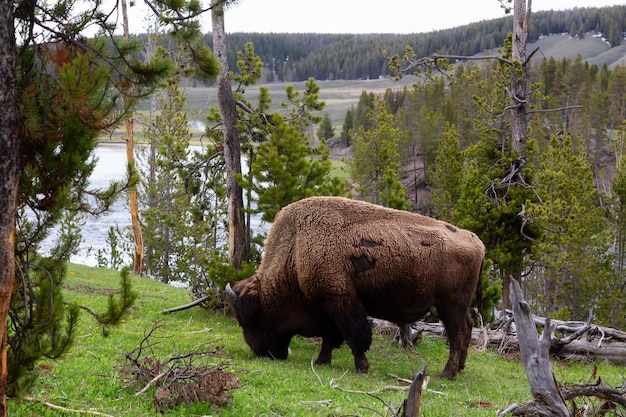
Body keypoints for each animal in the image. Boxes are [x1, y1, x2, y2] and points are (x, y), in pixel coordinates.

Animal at [224, 195, 482, 376]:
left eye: (248, 320)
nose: (260, 352)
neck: (296, 248)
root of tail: (476, 241)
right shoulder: (326, 305)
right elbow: (331, 336)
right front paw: (321, 361)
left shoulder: (340, 300)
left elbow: (354, 335)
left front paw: (362, 367)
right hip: (458, 305)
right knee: (468, 328)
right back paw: (460, 368)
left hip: (450, 304)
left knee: (457, 334)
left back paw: (446, 374)